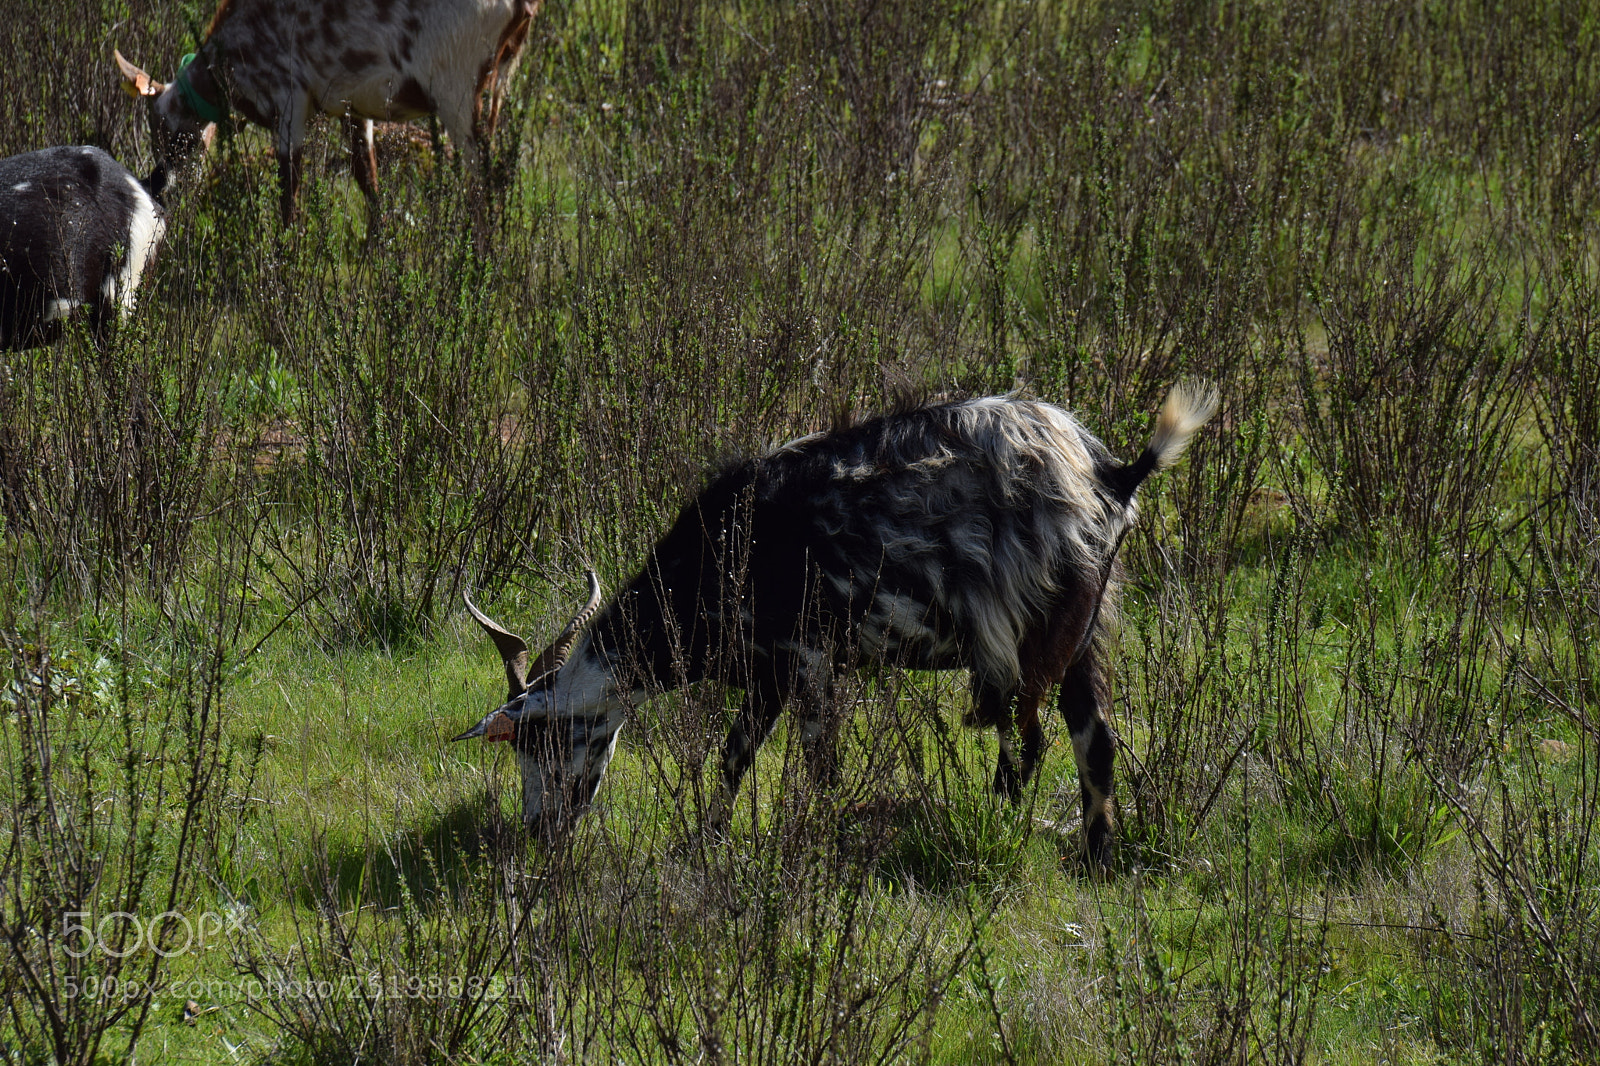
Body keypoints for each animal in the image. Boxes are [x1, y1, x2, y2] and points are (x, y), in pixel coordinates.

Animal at [113, 0, 542, 233]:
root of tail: (523, 7)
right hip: (499, 82)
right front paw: (377, 247)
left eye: (163, 130)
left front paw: (286, 261)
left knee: (480, 176)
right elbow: (366, 175)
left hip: (456, 86)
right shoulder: (355, 103)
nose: (159, 184)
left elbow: (289, 190)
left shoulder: (289, 99)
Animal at [454, 385, 1218, 865]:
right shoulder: (766, 671)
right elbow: (734, 755)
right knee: (1095, 738)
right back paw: (1094, 858)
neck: (730, 546)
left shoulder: (812, 657)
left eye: (540, 741)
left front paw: (808, 850)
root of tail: (1110, 477)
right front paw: (704, 842)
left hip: (1034, 636)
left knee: (1028, 744)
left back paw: (999, 828)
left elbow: (818, 767)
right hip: (1090, 627)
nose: (539, 831)